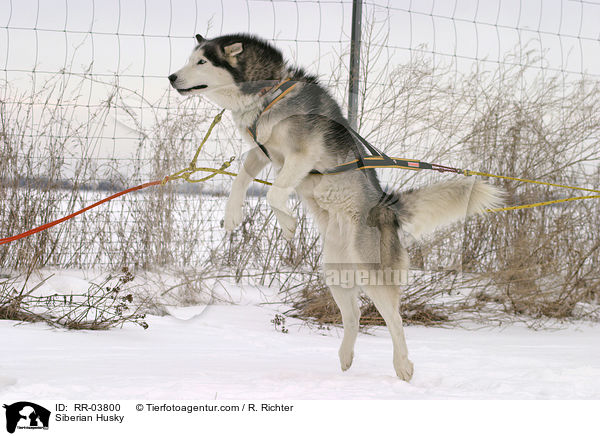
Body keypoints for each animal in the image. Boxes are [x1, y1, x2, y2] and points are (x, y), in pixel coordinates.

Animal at [169, 33, 502, 382]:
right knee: (353, 314)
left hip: (372, 271)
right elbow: (241, 179)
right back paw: (345, 356)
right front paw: (233, 214)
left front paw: (287, 223)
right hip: (335, 271)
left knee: (394, 319)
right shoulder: (263, 152)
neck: (267, 94)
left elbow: (274, 194)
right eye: (190, 59)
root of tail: (386, 208)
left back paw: (403, 365)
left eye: (201, 62)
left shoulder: (301, 156)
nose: (171, 77)